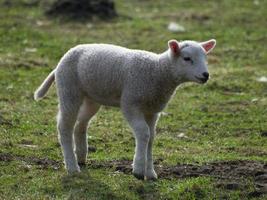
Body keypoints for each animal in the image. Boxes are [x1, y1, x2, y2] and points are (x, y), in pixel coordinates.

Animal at [34, 38, 218, 180]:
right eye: (187, 58)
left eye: (205, 58)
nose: (205, 75)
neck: (158, 71)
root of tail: (59, 63)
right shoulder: (131, 103)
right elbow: (144, 133)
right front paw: (138, 170)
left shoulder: (152, 110)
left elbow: (151, 138)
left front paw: (150, 173)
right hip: (69, 90)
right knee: (64, 126)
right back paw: (72, 167)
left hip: (92, 98)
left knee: (81, 124)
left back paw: (81, 156)